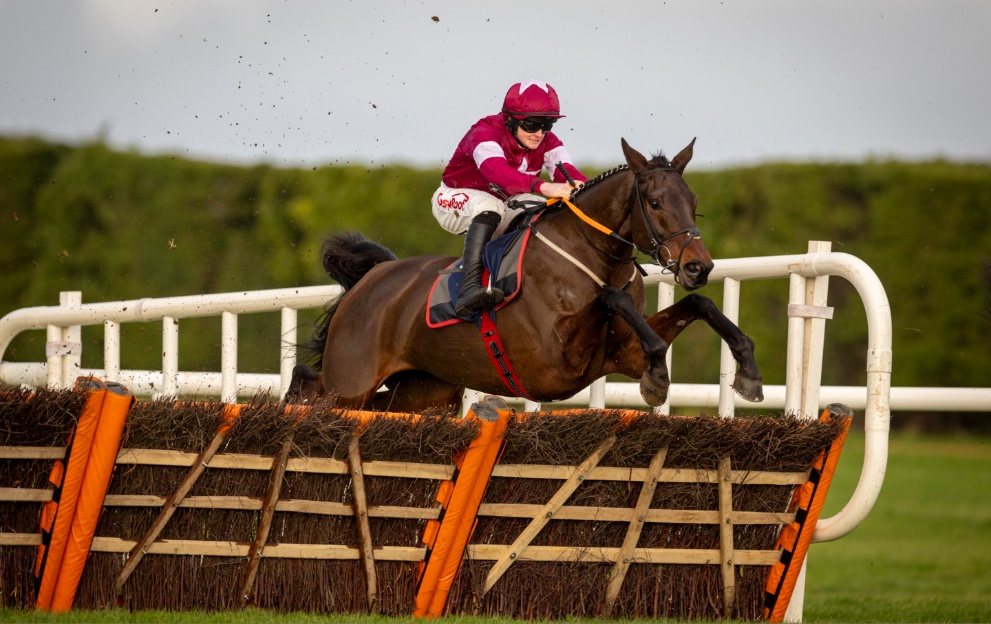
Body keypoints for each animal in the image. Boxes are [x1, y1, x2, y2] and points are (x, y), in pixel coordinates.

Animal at [288, 141, 768, 414]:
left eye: (694, 201)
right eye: (653, 202)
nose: (697, 266)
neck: (593, 255)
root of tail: (372, 279)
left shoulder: (620, 354)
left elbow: (698, 304)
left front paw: (747, 370)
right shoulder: (555, 360)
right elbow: (613, 299)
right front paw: (659, 374)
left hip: (425, 391)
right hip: (350, 382)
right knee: (309, 382)